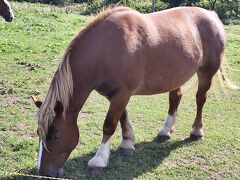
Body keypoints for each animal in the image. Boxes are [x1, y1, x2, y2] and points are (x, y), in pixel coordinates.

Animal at [31, 5, 229, 177]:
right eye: (39, 134)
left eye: (56, 136)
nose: (44, 173)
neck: (107, 49)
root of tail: (211, 15)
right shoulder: (117, 94)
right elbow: (122, 118)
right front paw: (127, 144)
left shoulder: (122, 93)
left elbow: (109, 125)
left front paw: (99, 160)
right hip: (176, 75)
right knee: (175, 98)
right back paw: (165, 130)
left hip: (206, 72)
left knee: (200, 99)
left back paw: (196, 131)